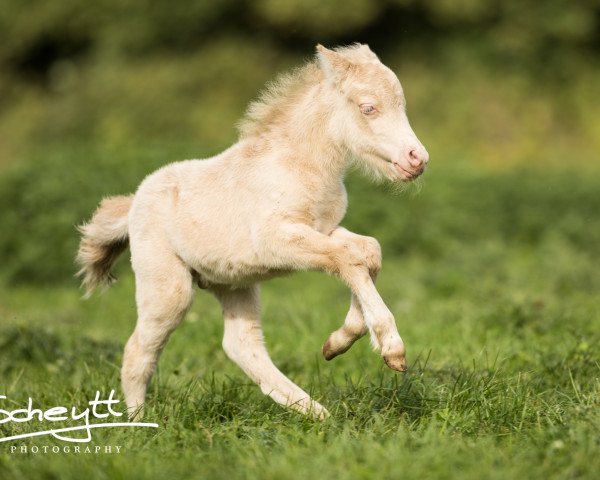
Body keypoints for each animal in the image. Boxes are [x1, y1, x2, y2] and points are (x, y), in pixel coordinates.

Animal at [77, 45, 428, 420]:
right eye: (368, 108)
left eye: (402, 104)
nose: (417, 159)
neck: (299, 165)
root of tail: (133, 203)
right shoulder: (276, 239)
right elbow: (349, 259)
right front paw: (391, 348)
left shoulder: (326, 229)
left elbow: (368, 251)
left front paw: (337, 342)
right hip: (168, 288)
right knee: (139, 350)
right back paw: (139, 423)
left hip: (234, 283)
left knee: (241, 345)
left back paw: (316, 412)